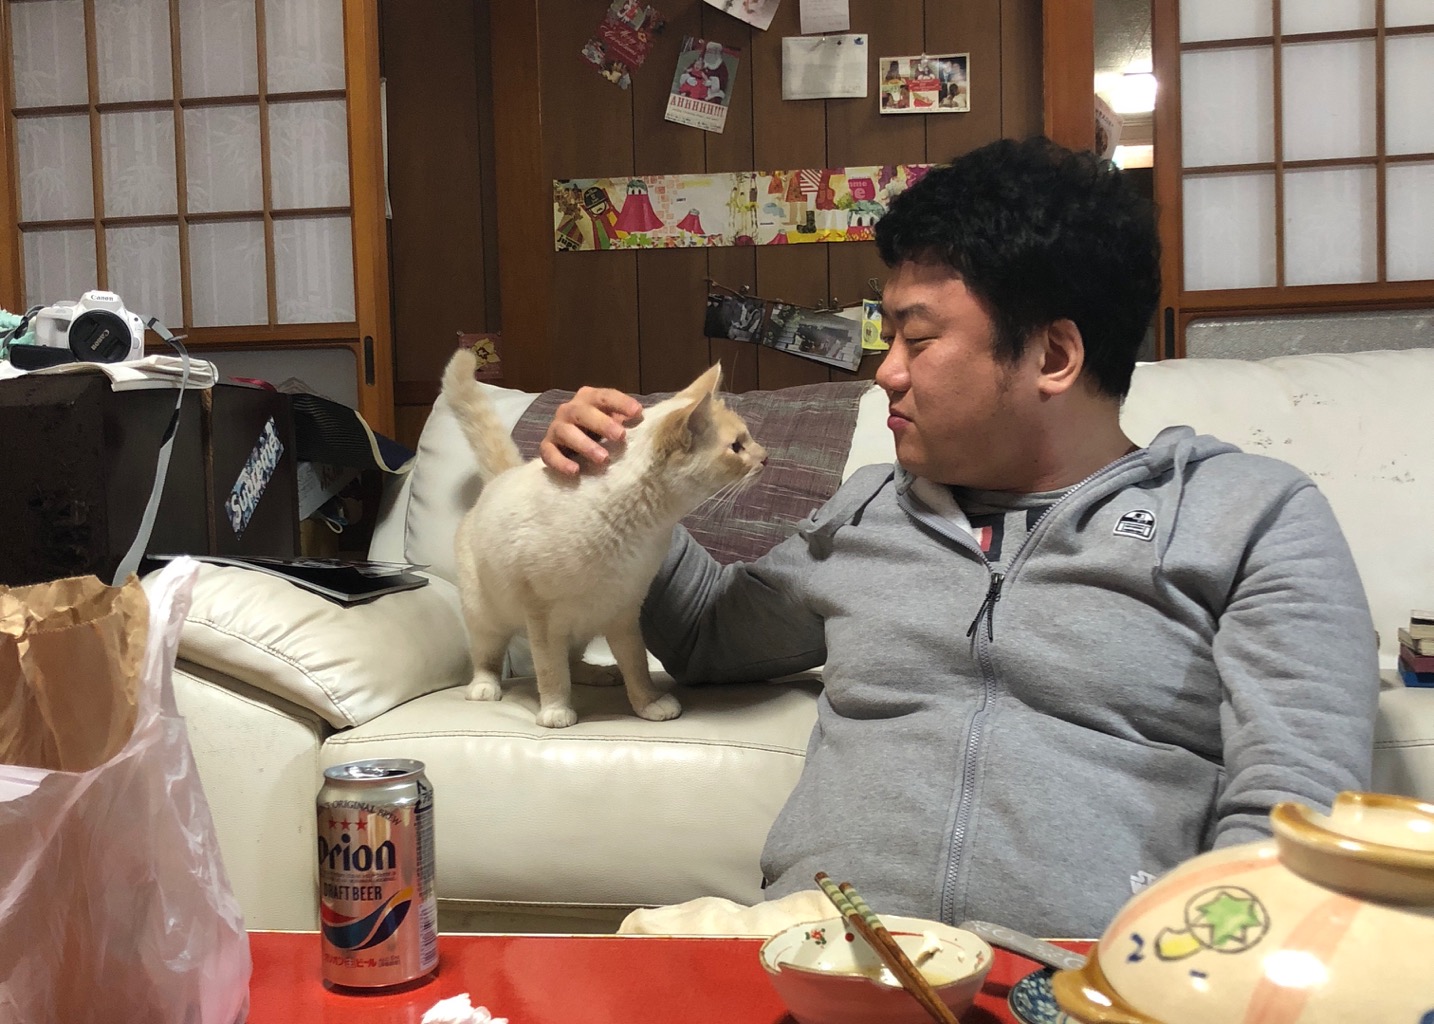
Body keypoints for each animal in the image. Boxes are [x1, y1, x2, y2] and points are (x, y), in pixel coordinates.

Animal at [440, 350, 767, 728]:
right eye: (736, 446)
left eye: (747, 440)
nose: (765, 457)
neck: (638, 530)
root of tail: (501, 478)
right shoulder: (543, 618)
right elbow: (550, 672)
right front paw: (555, 710)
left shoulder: (624, 613)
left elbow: (636, 666)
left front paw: (648, 705)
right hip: (486, 616)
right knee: (488, 657)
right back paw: (484, 687)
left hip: (582, 627)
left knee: (574, 660)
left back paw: (601, 673)